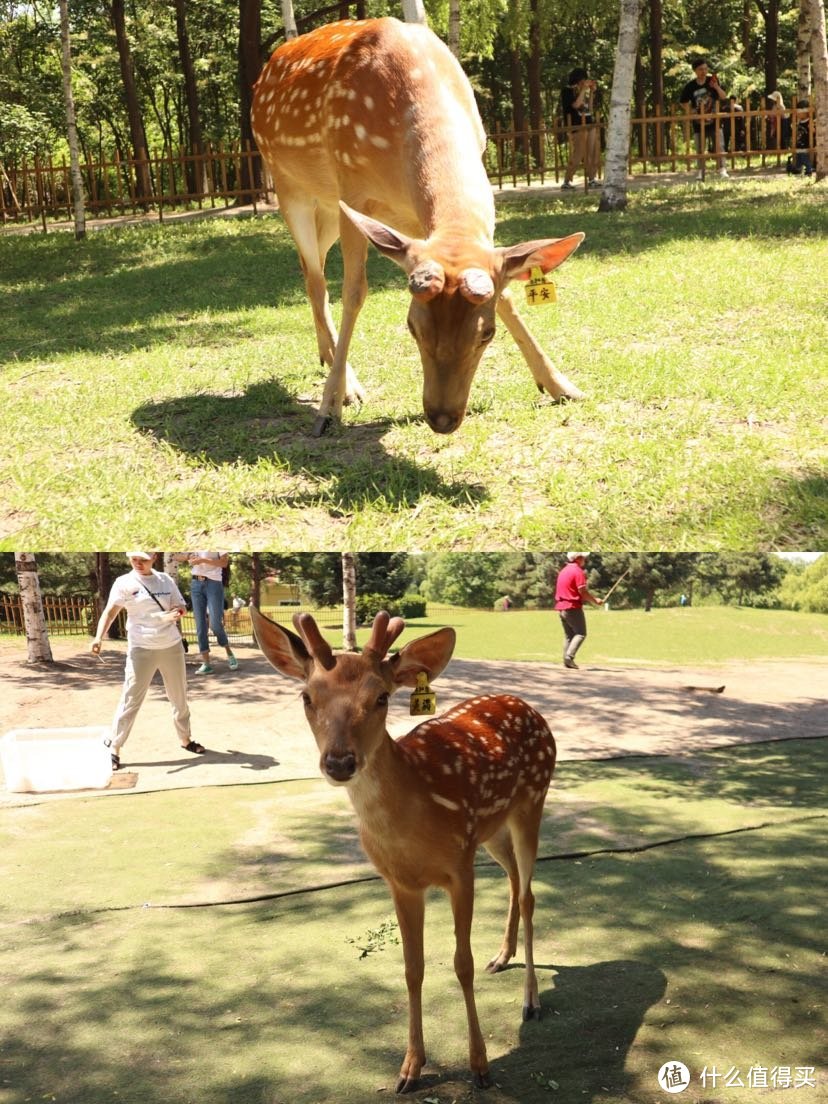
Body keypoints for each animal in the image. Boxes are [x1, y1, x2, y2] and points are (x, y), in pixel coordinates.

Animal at [249, 16, 587, 434]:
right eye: (412, 326)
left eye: (486, 333)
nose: (442, 417)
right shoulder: (352, 190)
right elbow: (354, 292)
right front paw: (328, 409)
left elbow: (507, 293)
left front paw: (561, 385)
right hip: (290, 188)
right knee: (315, 279)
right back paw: (348, 386)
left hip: (325, 209)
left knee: (310, 270)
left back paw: (328, 360)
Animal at [252, 609, 558, 1090]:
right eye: (306, 696)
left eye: (381, 697)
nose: (340, 762)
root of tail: (528, 706)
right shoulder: (400, 881)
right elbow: (413, 967)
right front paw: (410, 1068)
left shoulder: (459, 866)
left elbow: (461, 963)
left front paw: (480, 1065)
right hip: (491, 830)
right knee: (513, 880)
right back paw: (501, 957)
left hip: (532, 801)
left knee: (528, 893)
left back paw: (531, 1001)